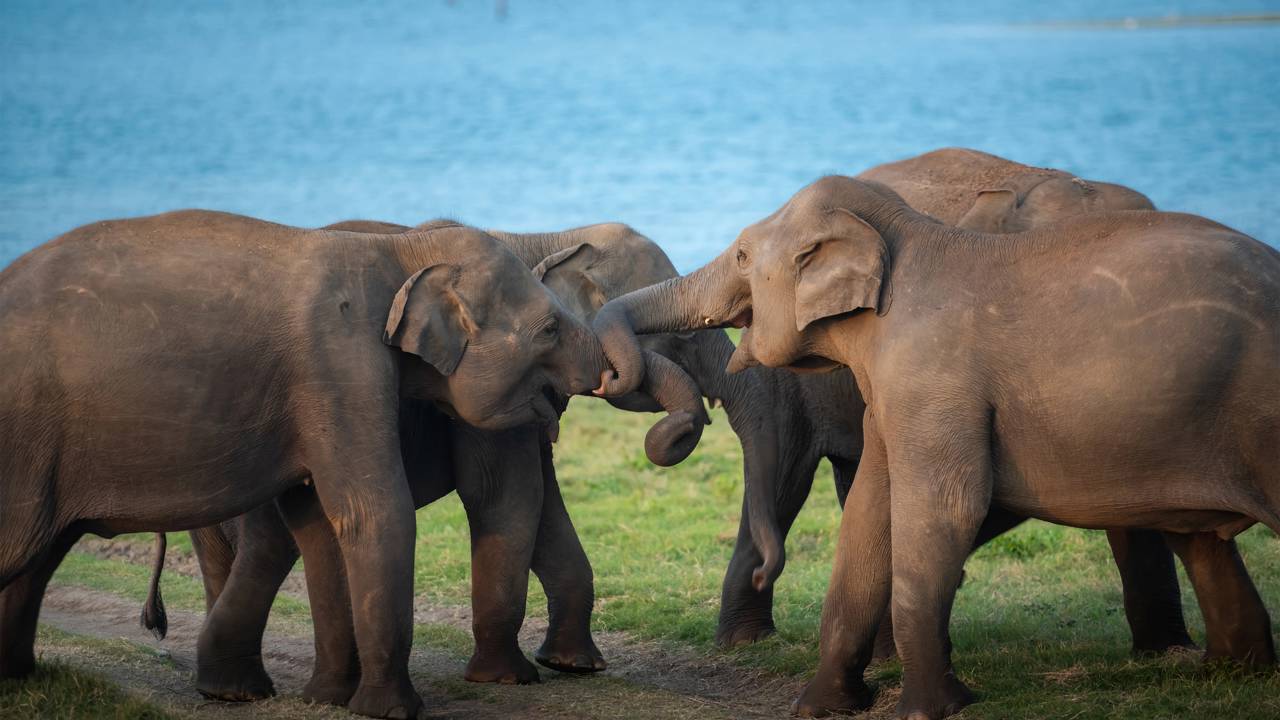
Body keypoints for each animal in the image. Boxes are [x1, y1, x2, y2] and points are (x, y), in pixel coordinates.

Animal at [0, 211, 617, 719]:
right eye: (549, 329)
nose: (605, 371)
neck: (401, 252)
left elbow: (318, 519)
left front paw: (329, 700)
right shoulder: (339, 364)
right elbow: (376, 511)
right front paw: (392, 711)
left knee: (42, 553)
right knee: (23, 546)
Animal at [140, 220, 713, 705]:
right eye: (682, 336)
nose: (688, 425)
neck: (542, 236)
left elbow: (542, 504)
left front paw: (572, 665)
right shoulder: (479, 395)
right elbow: (507, 496)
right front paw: (508, 679)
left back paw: (233, 687)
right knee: (270, 542)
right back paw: (246, 688)